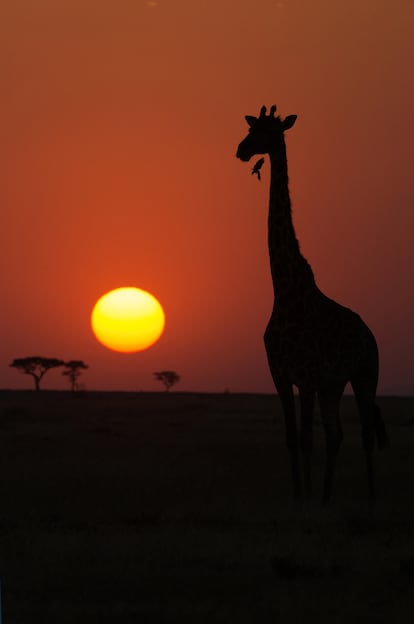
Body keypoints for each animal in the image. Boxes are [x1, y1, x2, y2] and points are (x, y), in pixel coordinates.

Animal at [236, 102, 388, 502]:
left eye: (267, 133)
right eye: (251, 128)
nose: (241, 150)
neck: (285, 291)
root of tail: (370, 334)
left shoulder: (305, 376)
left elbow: (306, 439)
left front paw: (306, 498)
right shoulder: (281, 374)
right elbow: (293, 438)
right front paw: (299, 496)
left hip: (365, 374)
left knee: (365, 433)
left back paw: (369, 498)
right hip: (333, 385)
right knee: (337, 434)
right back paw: (326, 495)